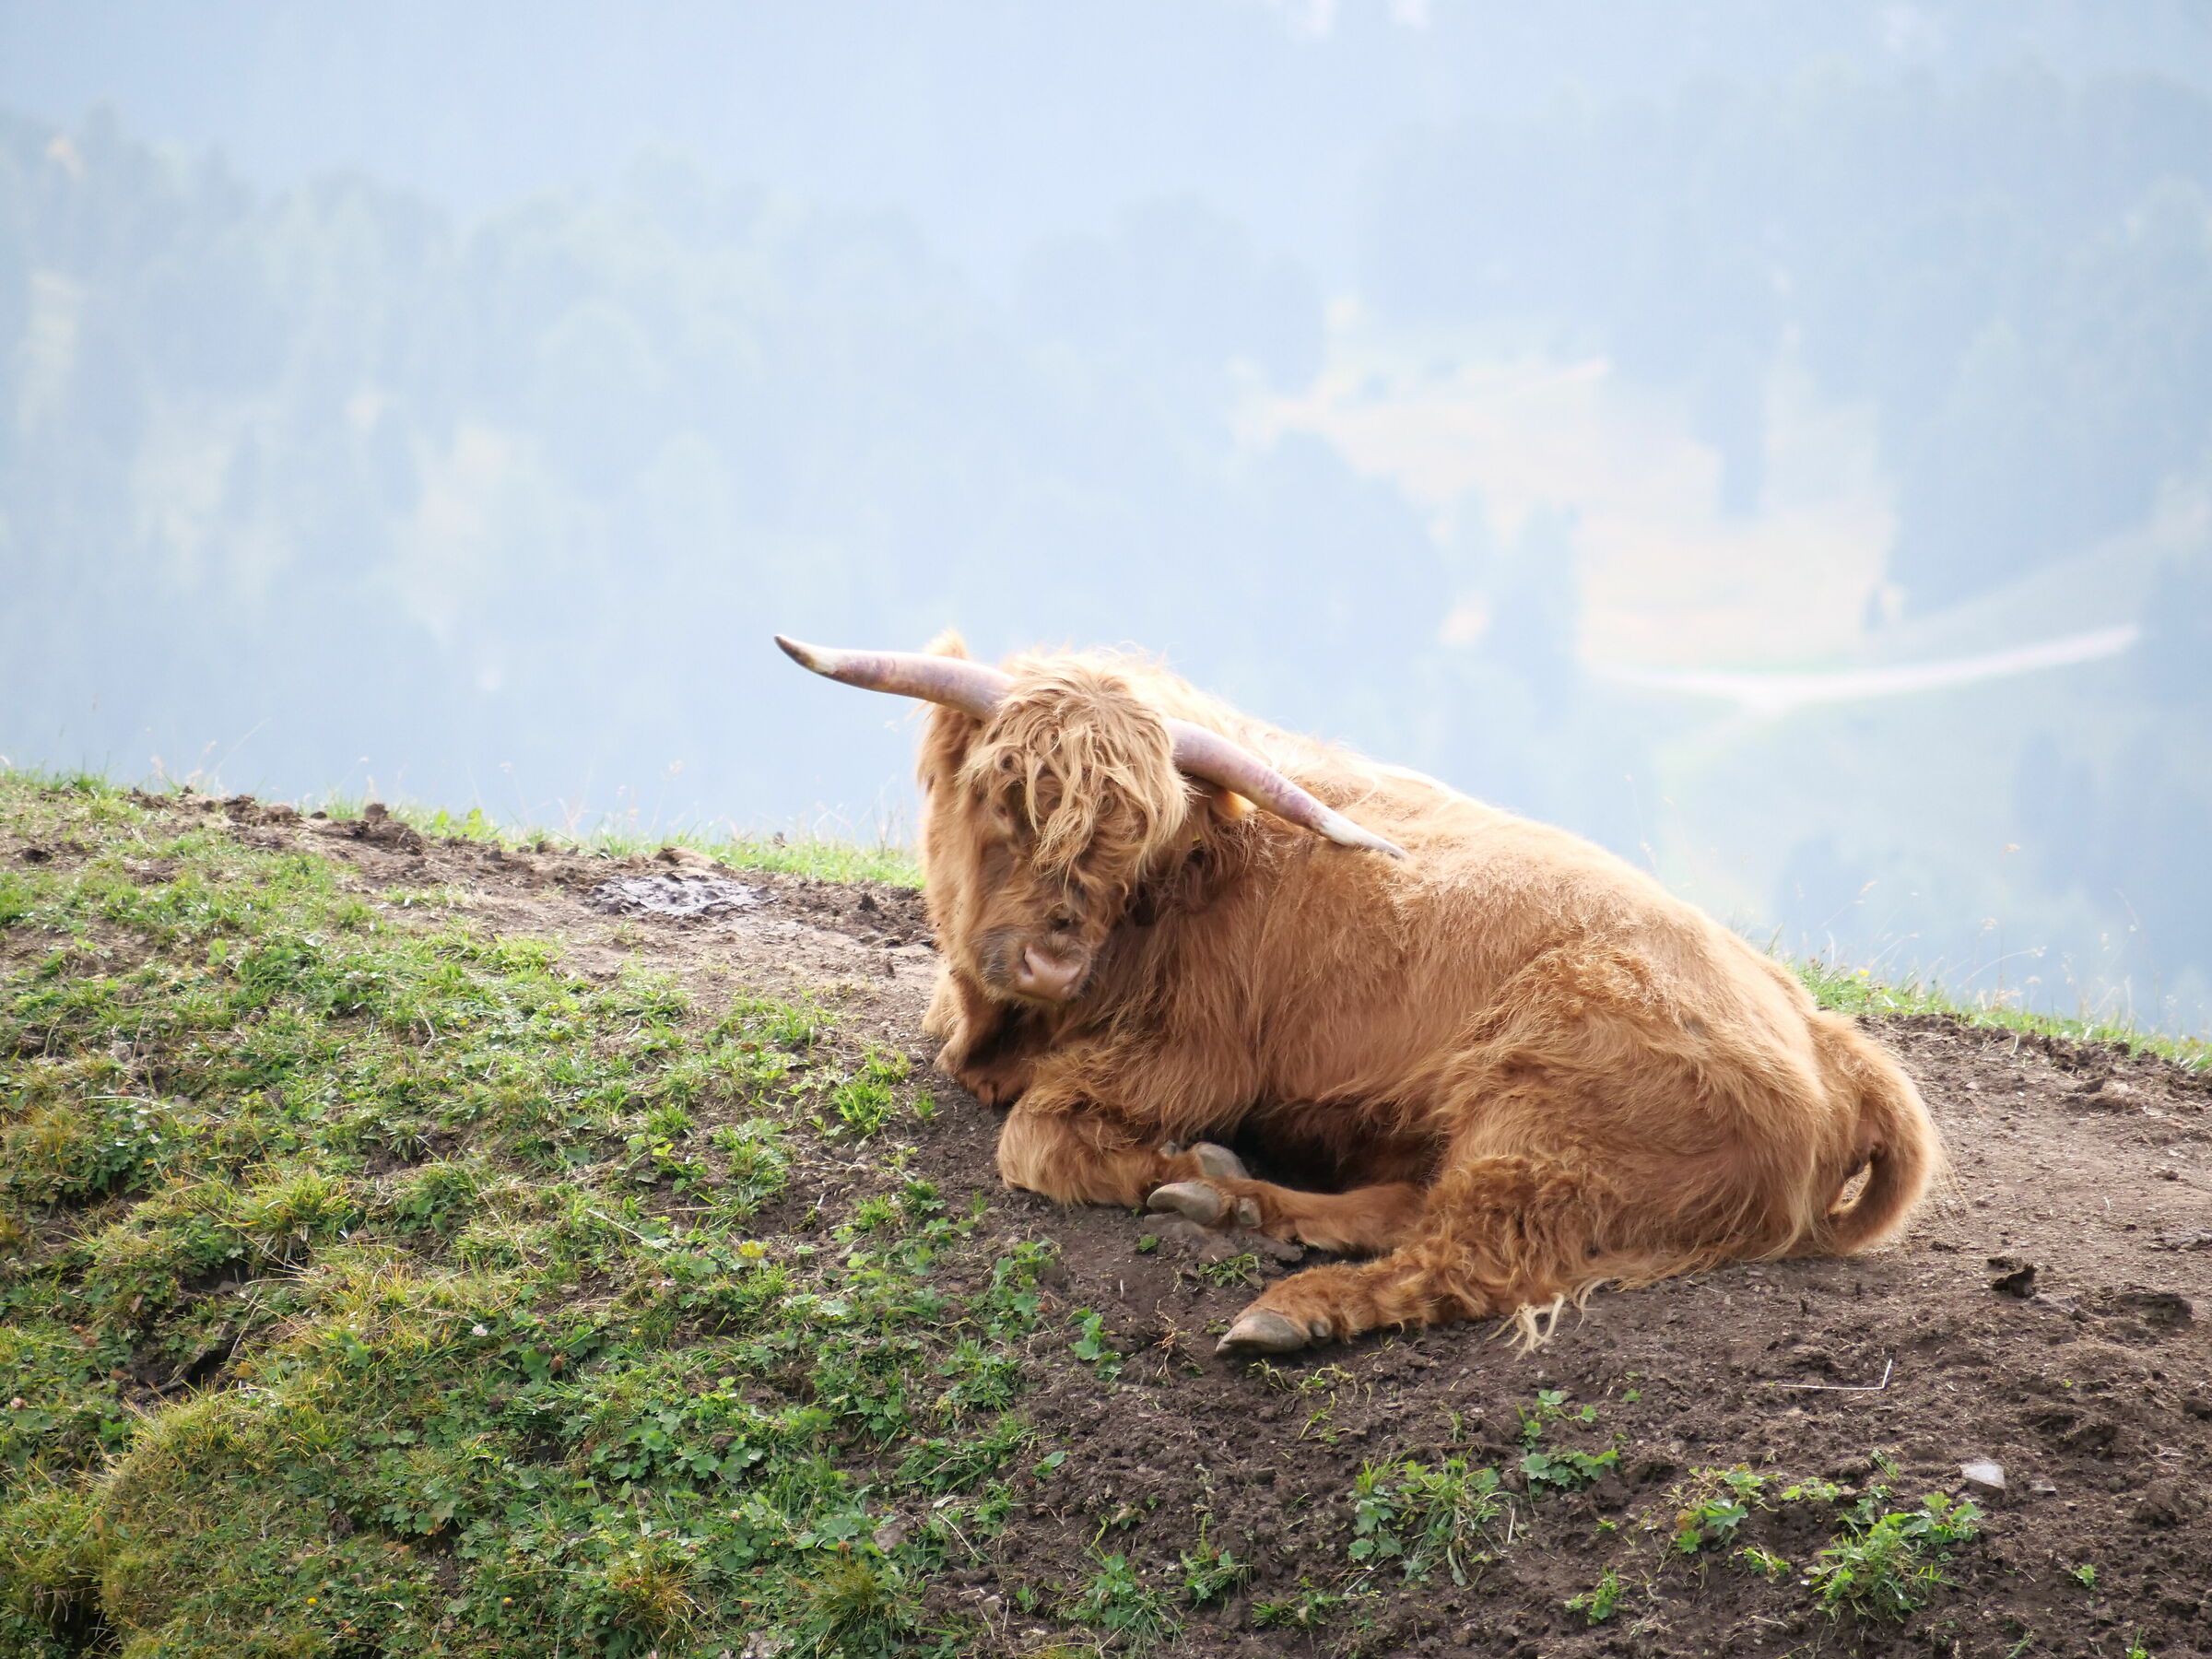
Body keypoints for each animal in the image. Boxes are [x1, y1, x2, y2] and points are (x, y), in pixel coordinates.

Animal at [776, 632, 1941, 1356]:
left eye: (1130, 836)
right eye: (1006, 793)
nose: (1056, 959)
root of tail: (1830, 1042)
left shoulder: (1190, 1056)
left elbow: (1036, 1139)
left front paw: (1163, 1163)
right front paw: (1196, 1174)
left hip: (1548, 1110)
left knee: (1471, 1255)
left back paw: (1288, 1306)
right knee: (1413, 1204)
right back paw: (1237, 1204)